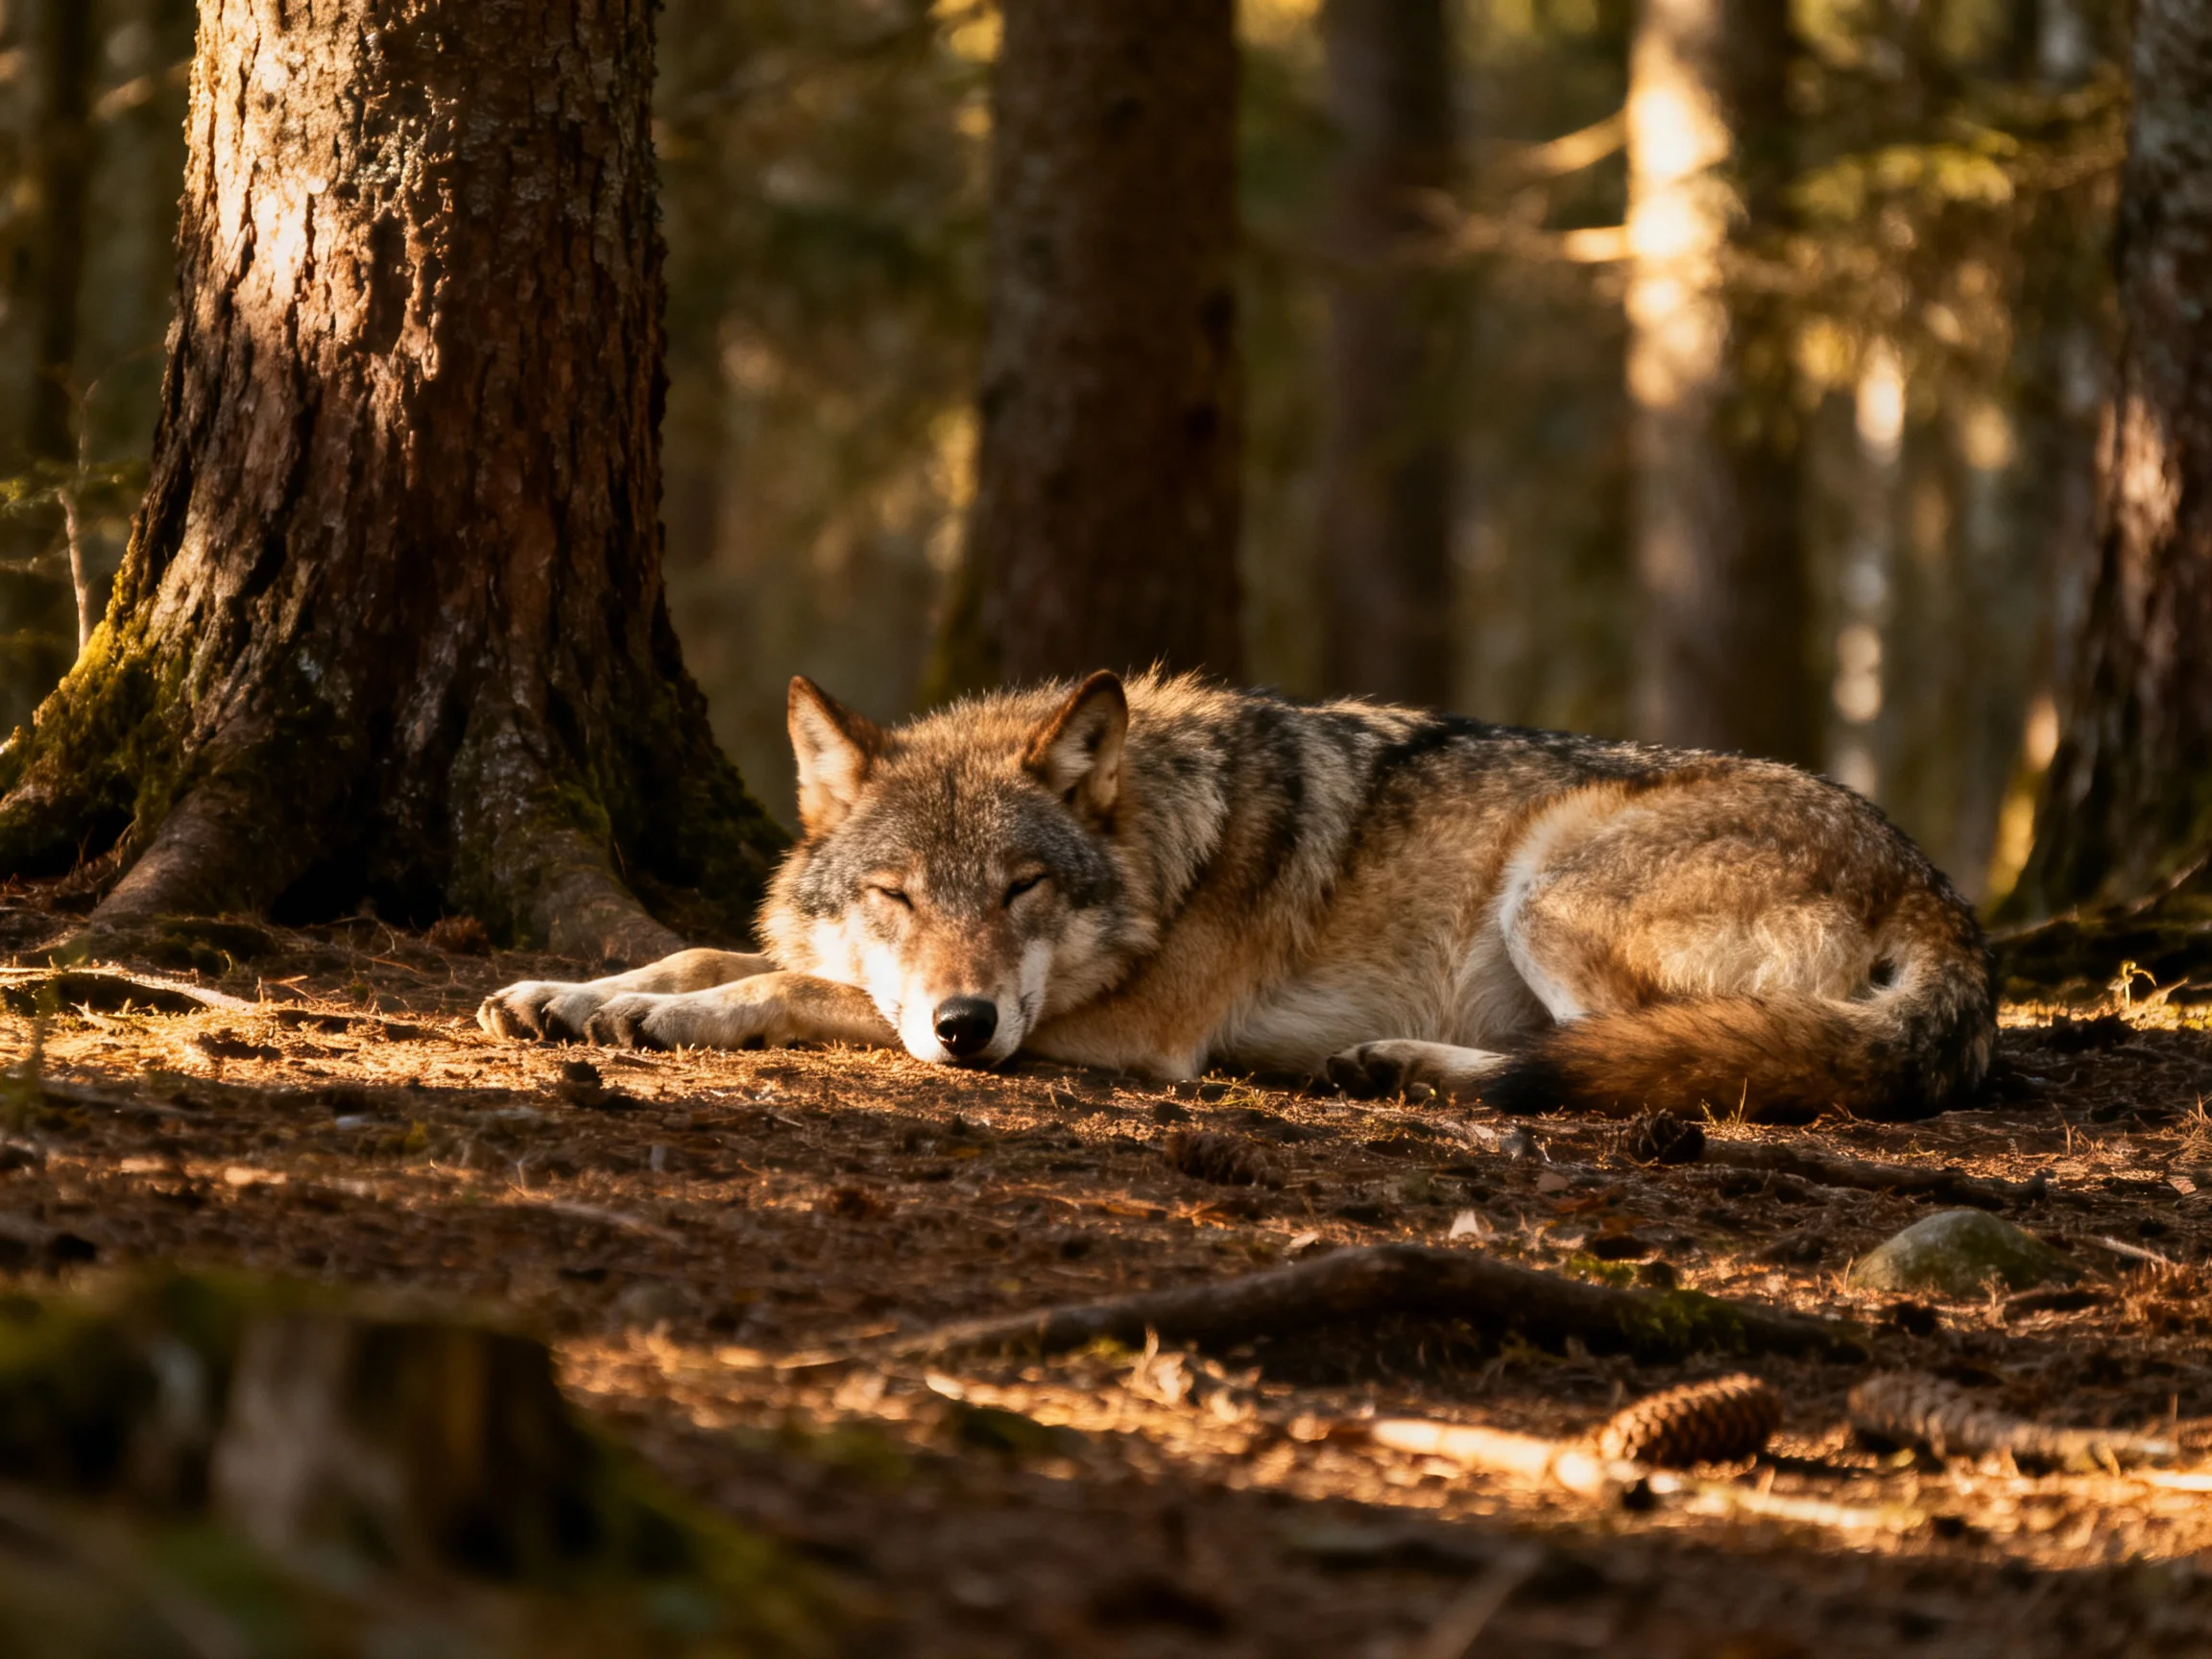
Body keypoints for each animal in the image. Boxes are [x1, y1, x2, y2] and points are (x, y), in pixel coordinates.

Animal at [478, 672, 1995, 1122]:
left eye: (1024, 887)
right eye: (898, 896)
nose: (966, 1027)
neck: (1170, 845)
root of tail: (1943, 897)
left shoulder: (1115, 1034)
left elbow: (783, 984)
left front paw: (662, 1022)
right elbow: (705, 952)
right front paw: (566, 996)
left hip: (1553, 879)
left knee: (1610, 1059)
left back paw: (1400, 1065)